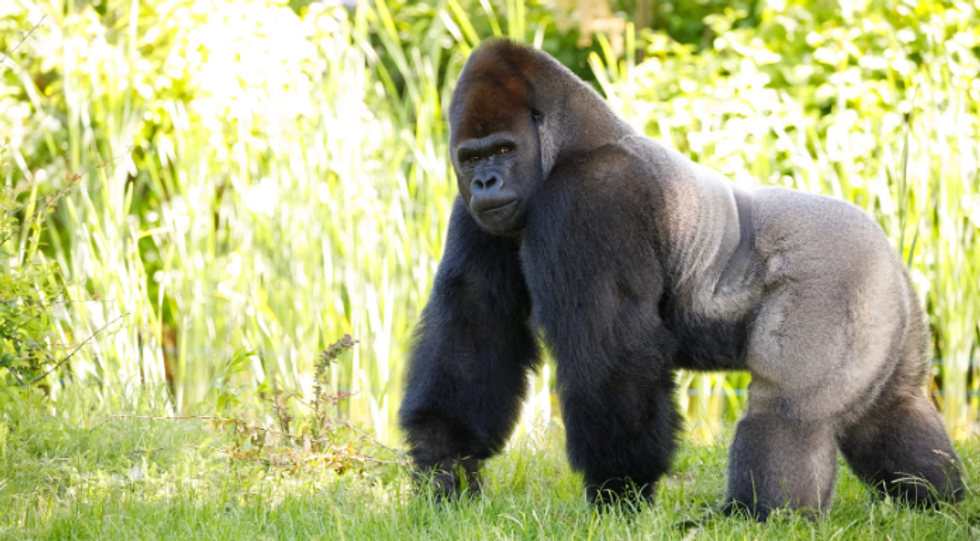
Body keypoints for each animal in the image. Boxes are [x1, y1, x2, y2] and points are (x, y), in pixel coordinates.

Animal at [397, 39, 964, 519]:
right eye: (472, 157)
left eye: (504, 150)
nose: (486, 182)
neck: (572, 140)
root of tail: (887, 250)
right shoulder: (477, 212)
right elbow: (475, 321)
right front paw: (446, 460)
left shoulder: (593, 197)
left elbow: (611, 353)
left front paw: (620, 489)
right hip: (887, 302)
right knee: (890, 410)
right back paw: (938, 498)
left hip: (839, 280)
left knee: (789, 412)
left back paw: (762, 515)